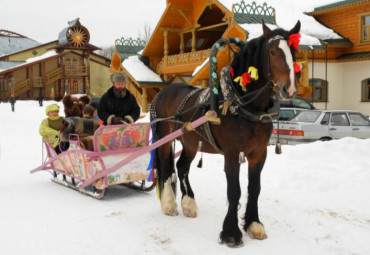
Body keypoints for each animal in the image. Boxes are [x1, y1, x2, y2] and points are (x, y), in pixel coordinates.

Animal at [150, 20, 300, 248]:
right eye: (273, 52)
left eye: (294, 51)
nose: (289, 89)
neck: (241, 104)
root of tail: (163, 91)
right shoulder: (231, 153)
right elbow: (234, 190)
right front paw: (231, 233)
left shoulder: (259, 153)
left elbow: (254, 188)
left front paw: (254, 225)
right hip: (162, 137)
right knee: (167, 166)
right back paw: (169, 204)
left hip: (190, 142)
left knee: (182, 167)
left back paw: (189, 203)